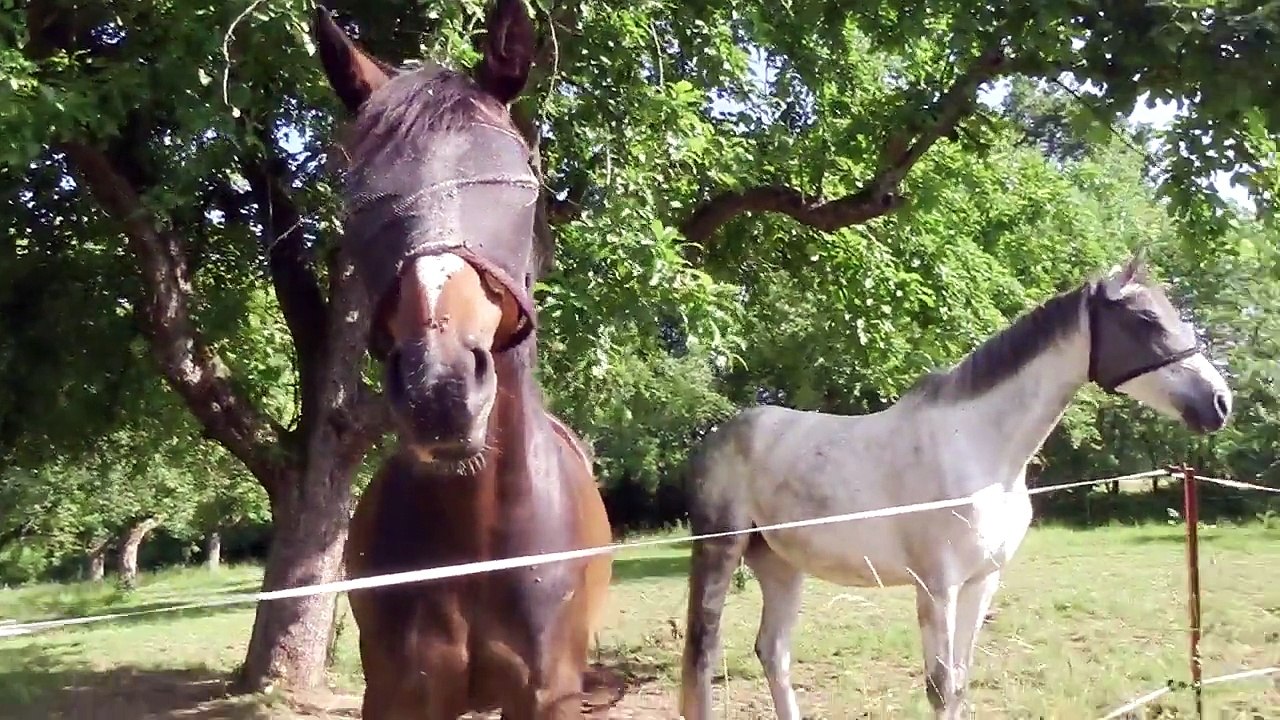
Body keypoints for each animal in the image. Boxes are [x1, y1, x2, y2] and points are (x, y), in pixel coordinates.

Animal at [678, 252, 1233, 720]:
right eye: (1146, 319)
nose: (1220, 402)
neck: (983, 453)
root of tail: (719, 434)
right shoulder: (937, 586)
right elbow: (941, 687)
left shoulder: (981, 581)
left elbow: (961, 682)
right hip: (720, 552)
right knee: (704, 657)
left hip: (781, 565)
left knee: (773, 652)